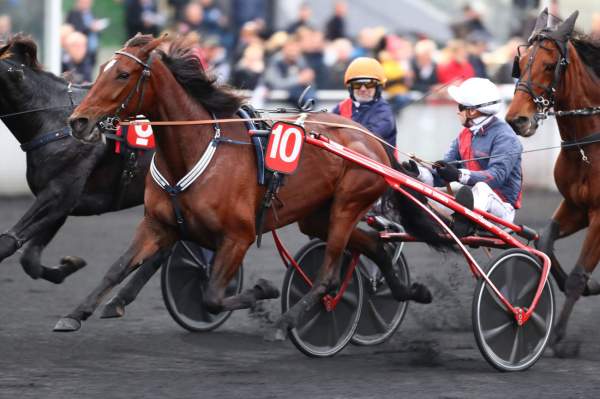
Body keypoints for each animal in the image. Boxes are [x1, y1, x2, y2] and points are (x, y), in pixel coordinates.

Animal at [0, 35, 152, 284]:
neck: (53, 119)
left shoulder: (59, 193)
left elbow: (6, 244)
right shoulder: (62, 203)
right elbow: (30, 260)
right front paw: (69, 265)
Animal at [56, 35, 448, 334]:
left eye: (123, 74)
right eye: (101, 70)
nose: (78, 121)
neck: (195, 150)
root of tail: (372, 141)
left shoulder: (238, 236)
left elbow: (212, 297)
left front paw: (264, 288)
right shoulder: (158, 224)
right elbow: (117, 267)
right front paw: (76, 314)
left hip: (347, 205)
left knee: (328, 277)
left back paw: (290, 320)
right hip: (319, 215)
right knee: (376, 247)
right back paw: (410, 291)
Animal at [506, 9, 600, 358]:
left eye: (549, 65)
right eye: (521, 62)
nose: (516, 119)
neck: (589, 145)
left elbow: (577, 275)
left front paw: (558, 337)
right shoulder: (575, 206)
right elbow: (545, 241)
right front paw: (591, 286)